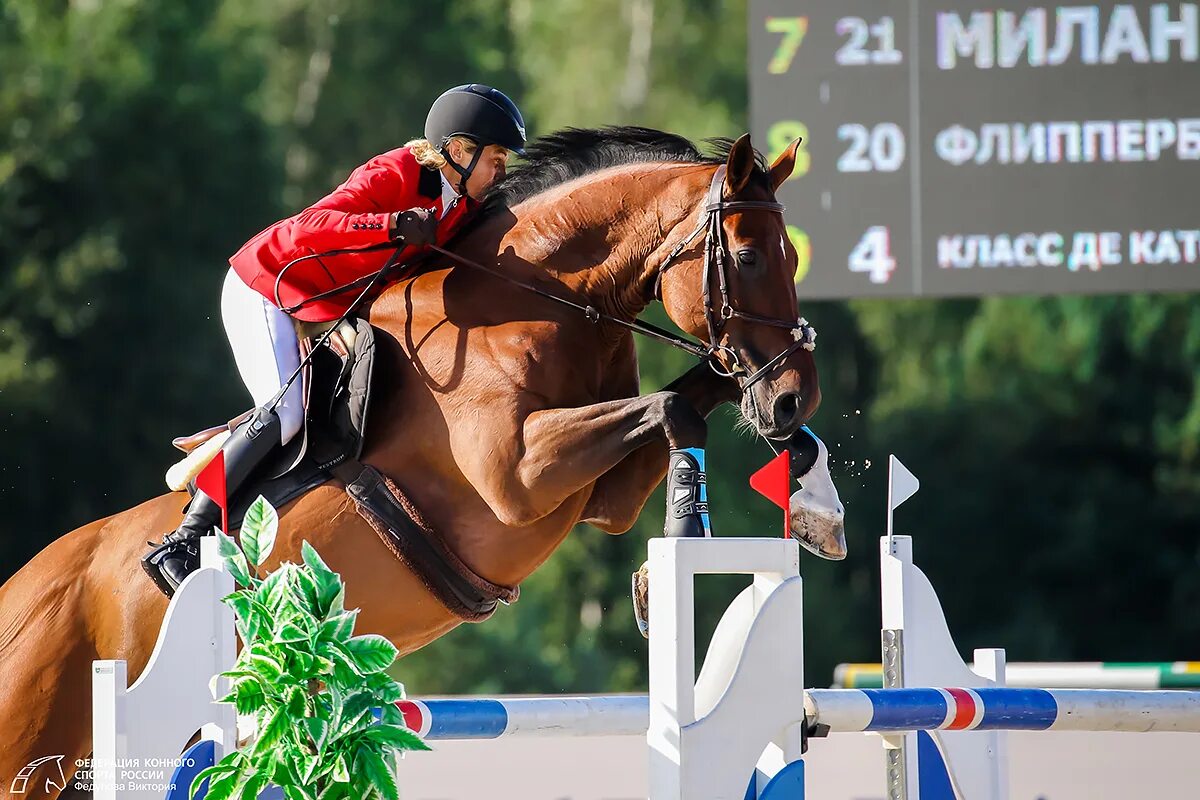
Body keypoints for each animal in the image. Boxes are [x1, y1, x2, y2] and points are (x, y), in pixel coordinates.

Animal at [0, 128, 835, 796]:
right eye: (749, 256)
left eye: (795, 255)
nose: (795, 396)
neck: (539, 300)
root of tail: (22, 593)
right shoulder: (519, 476)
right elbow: (673, 410)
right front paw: (677, 561)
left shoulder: (601, 494)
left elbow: (693, 397)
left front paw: (813, 497)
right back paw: (180, 553)